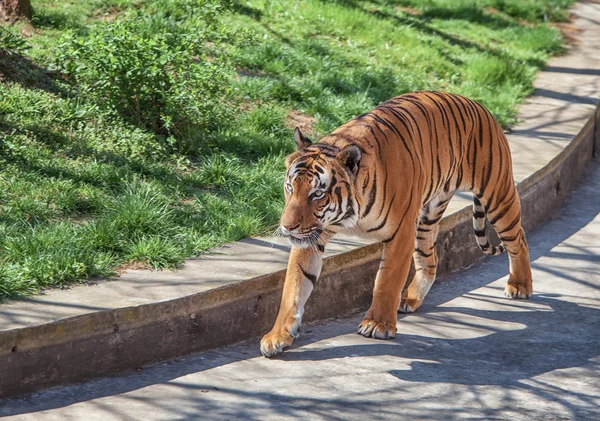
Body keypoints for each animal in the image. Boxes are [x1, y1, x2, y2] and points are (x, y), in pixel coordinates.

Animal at [260, 90, 532, 356]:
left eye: (317, 193)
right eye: (290, 187)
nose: (287, 227)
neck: (349, 214)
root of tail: (478, 104)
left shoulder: (401, 232)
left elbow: (386, 281)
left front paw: (377, 324)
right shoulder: (311, 237)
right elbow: (294, 288)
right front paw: (277, 336)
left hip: (498, 197)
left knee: (518, 238)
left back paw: (520, 285)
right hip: (428, 218)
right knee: (430, 259)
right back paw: (409, 298)